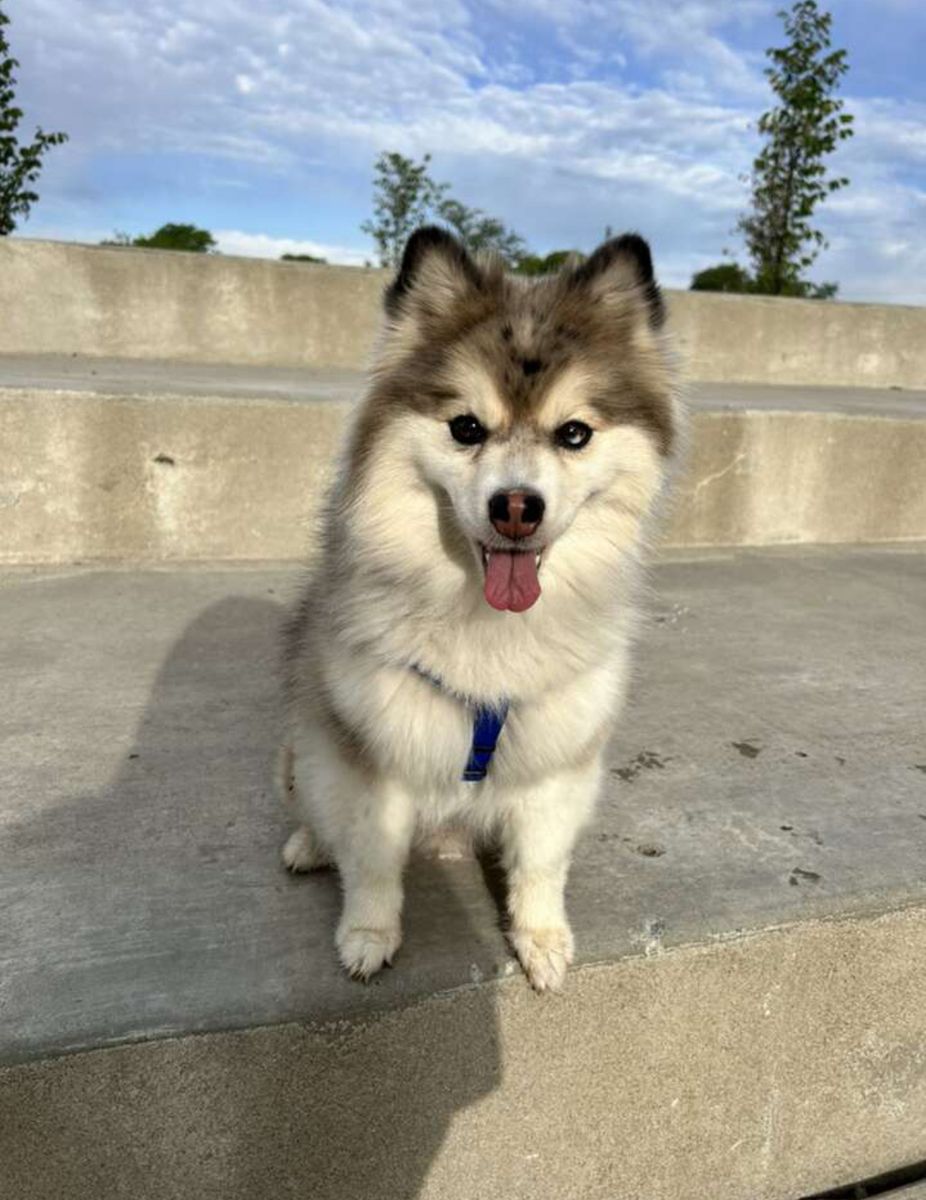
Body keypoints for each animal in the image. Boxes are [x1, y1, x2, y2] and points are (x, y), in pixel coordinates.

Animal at [278, 226, 681, 991]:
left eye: (574, 433)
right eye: (466, 427)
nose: (517, 507)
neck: (488, 627)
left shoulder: (557, 762)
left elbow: (542, 864)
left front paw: (541, 938)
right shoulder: (375, 750)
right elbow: (371, 861)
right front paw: (369, 934)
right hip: (311, 744)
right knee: (316, 801)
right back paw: (310, 843)